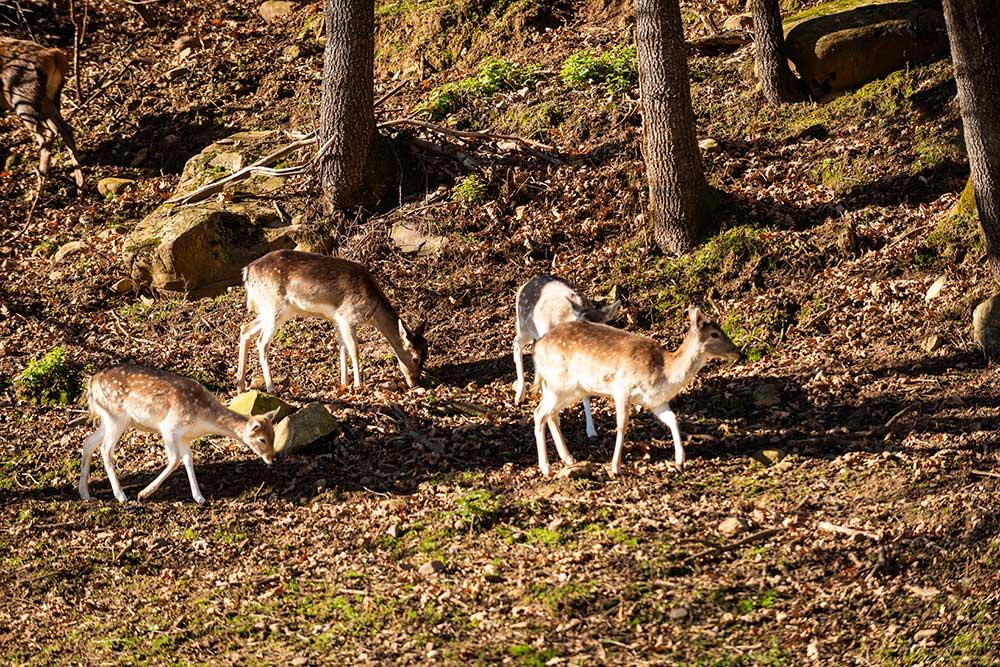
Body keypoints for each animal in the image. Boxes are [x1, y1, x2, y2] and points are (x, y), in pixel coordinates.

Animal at [0, 37, 83, 188]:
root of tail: (54, 55)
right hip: (49, 98)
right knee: (64, 129)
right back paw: (80, 185)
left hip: (22, 99)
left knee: (46, 133)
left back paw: (39, 186)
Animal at [79, 365, 280, 505]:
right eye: (262, 439)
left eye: (274, 435)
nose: (272, 459)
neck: (201, 419)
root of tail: (92, 382)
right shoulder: (169, 428)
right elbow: (175, 460)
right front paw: (143, 493)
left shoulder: (185, 437)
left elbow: (188, 461)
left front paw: (200, 497)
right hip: (116, 416)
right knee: (105, 449)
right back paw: (121, 495)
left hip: (109, 419)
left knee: (88, 442)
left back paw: (85, 493)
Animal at [237, 249, 428, 394]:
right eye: (416, 358)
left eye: (426, 356)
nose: (415, 383)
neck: (372, 311)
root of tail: (246, 271)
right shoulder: (347, 316)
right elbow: (354, 349)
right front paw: (358, 385)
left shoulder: (337, 319)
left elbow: (342, 346)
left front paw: (344, 383)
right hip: (274, 305)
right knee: (262, 342)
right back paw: (270, 388)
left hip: (275, 309)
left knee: (245, 329)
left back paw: (241, 385)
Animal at [531, 306, 740, 477]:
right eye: (714, 333)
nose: (738, 352)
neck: (664, 373)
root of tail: (536, 349)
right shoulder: (622, 388)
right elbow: (622, 424)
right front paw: (615, 467)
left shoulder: (655, 401)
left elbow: (673, 418)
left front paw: (680, 461)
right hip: (559, 384)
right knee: (539, 413)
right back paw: (546, 468)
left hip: (568, 389)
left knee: (551, 415)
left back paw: (568, 458)